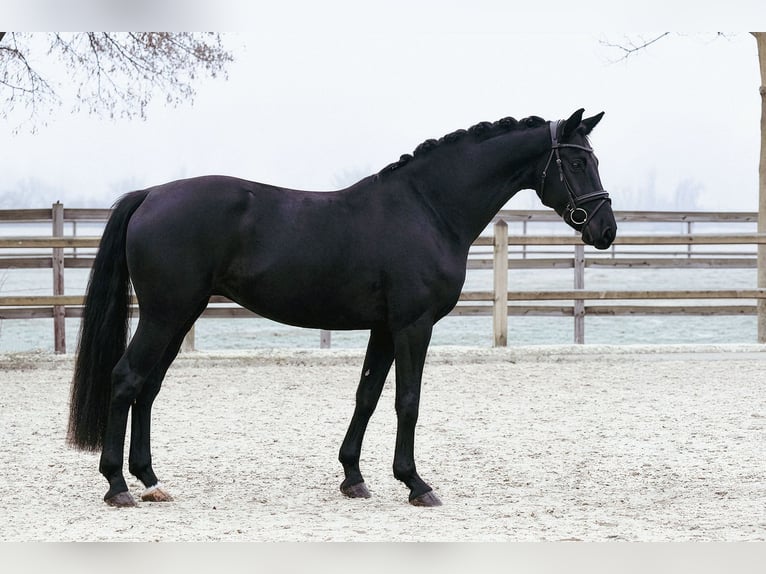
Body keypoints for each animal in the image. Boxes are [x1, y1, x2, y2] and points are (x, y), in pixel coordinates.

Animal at [67, 108, 616, 508]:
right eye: (577, 162)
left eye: (592, 158)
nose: (605, 229)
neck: (427, 209)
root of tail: (151, 195)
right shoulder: (413, 326)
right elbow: (407, 401)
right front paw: (416, 484)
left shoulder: (385, 329)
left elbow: (367, 397)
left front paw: (353, 476)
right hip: (164, 314)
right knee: (127, 379)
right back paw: (117, 486)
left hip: (180, 316)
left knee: (149, 387)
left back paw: (150, 480)